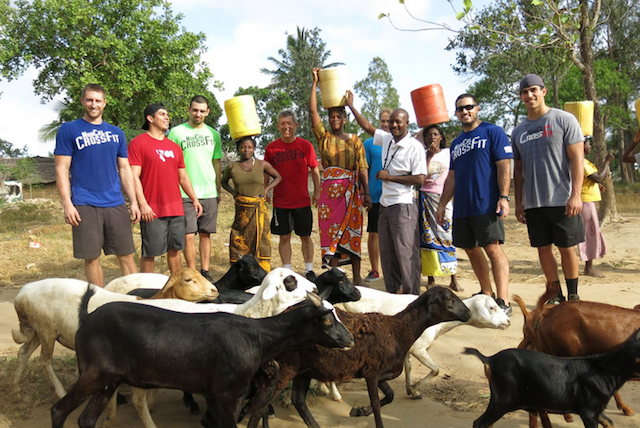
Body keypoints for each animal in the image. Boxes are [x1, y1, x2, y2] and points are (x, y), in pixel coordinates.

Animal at [50, 284, 356, 428]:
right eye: (326, 320)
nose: (350, 340)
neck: (255, 336)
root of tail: (86, 318)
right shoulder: (222, 394)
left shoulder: (220, 394)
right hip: (94, 374)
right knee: (59, 410)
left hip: (108, 380)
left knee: (86, 420)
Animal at [336, 290, 510, 400]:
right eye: (492, 307)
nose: (508, 322)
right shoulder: (418, 348)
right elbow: (436, 369)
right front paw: (415, 388)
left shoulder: (407, 347)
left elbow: (408, 366)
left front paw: (411, 391)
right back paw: (335, 394)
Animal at [462, 332, 640, 428]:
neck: (602, 369)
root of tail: (490, 360)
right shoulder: (589, 412)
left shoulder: (597, 411)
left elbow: (610, 422)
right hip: (504, 400)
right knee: (480, 423)